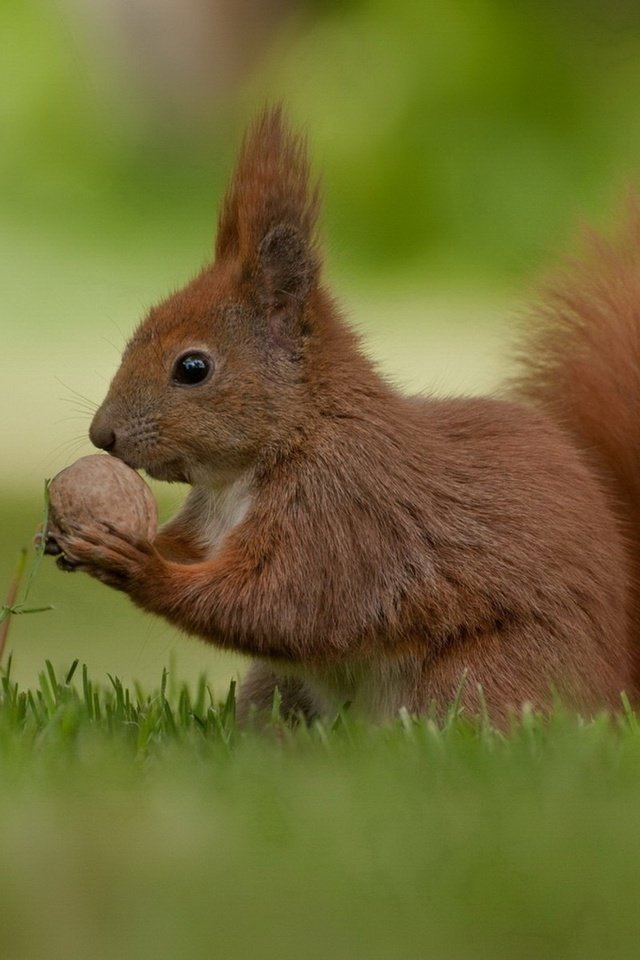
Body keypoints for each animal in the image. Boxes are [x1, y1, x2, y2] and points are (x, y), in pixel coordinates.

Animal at [50, 107, 640, 720]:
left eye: (192, 368)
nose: (101, 435)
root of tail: (618, 684)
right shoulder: (213, 521)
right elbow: (196, 555)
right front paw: (71, 537)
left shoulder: (344, 513)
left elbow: (279, 607)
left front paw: (137, 565)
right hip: (278, 690)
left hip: (482, 676)